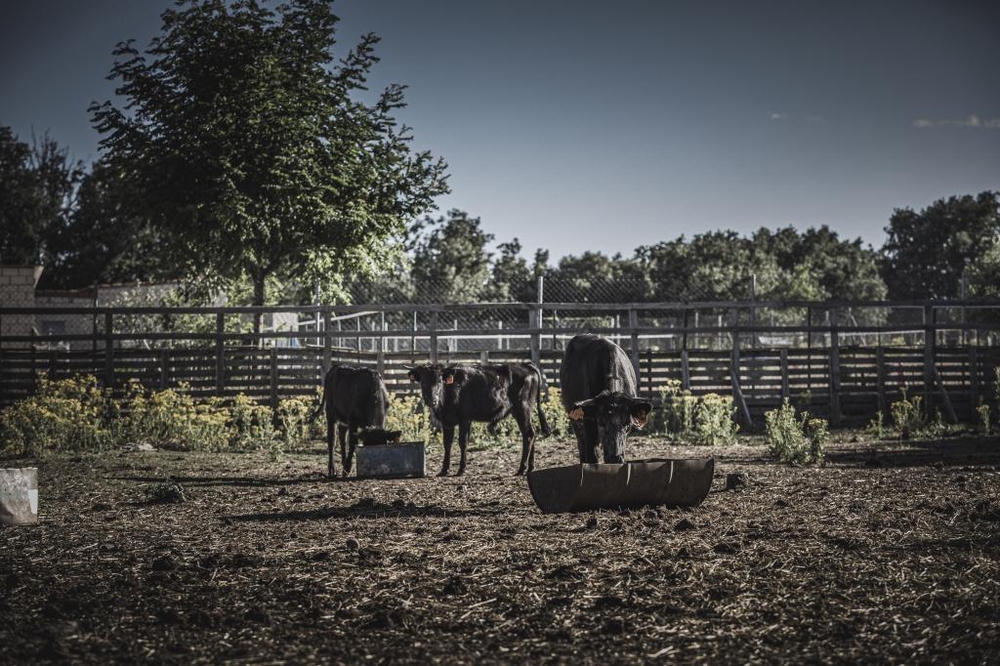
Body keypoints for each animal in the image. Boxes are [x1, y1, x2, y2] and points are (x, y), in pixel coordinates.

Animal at [406, 360, 552, 474]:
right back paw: (530, 467)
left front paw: (461, 469)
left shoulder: (465, 419)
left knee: (528, 435)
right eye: (423, 382)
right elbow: (447, 444)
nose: (432, 400)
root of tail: (525, 365)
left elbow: (463, 442)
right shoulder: (447, 422)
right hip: (524, 412)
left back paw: (522, 468)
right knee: (531, 432)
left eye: (439, 381)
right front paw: (444, 470)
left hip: (522, 409)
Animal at [560, 332, 652, 462]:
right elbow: (592, 455)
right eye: (601, 422)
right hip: (575, 422)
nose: (615, 458)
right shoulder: (589, 424)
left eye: (627, 424)